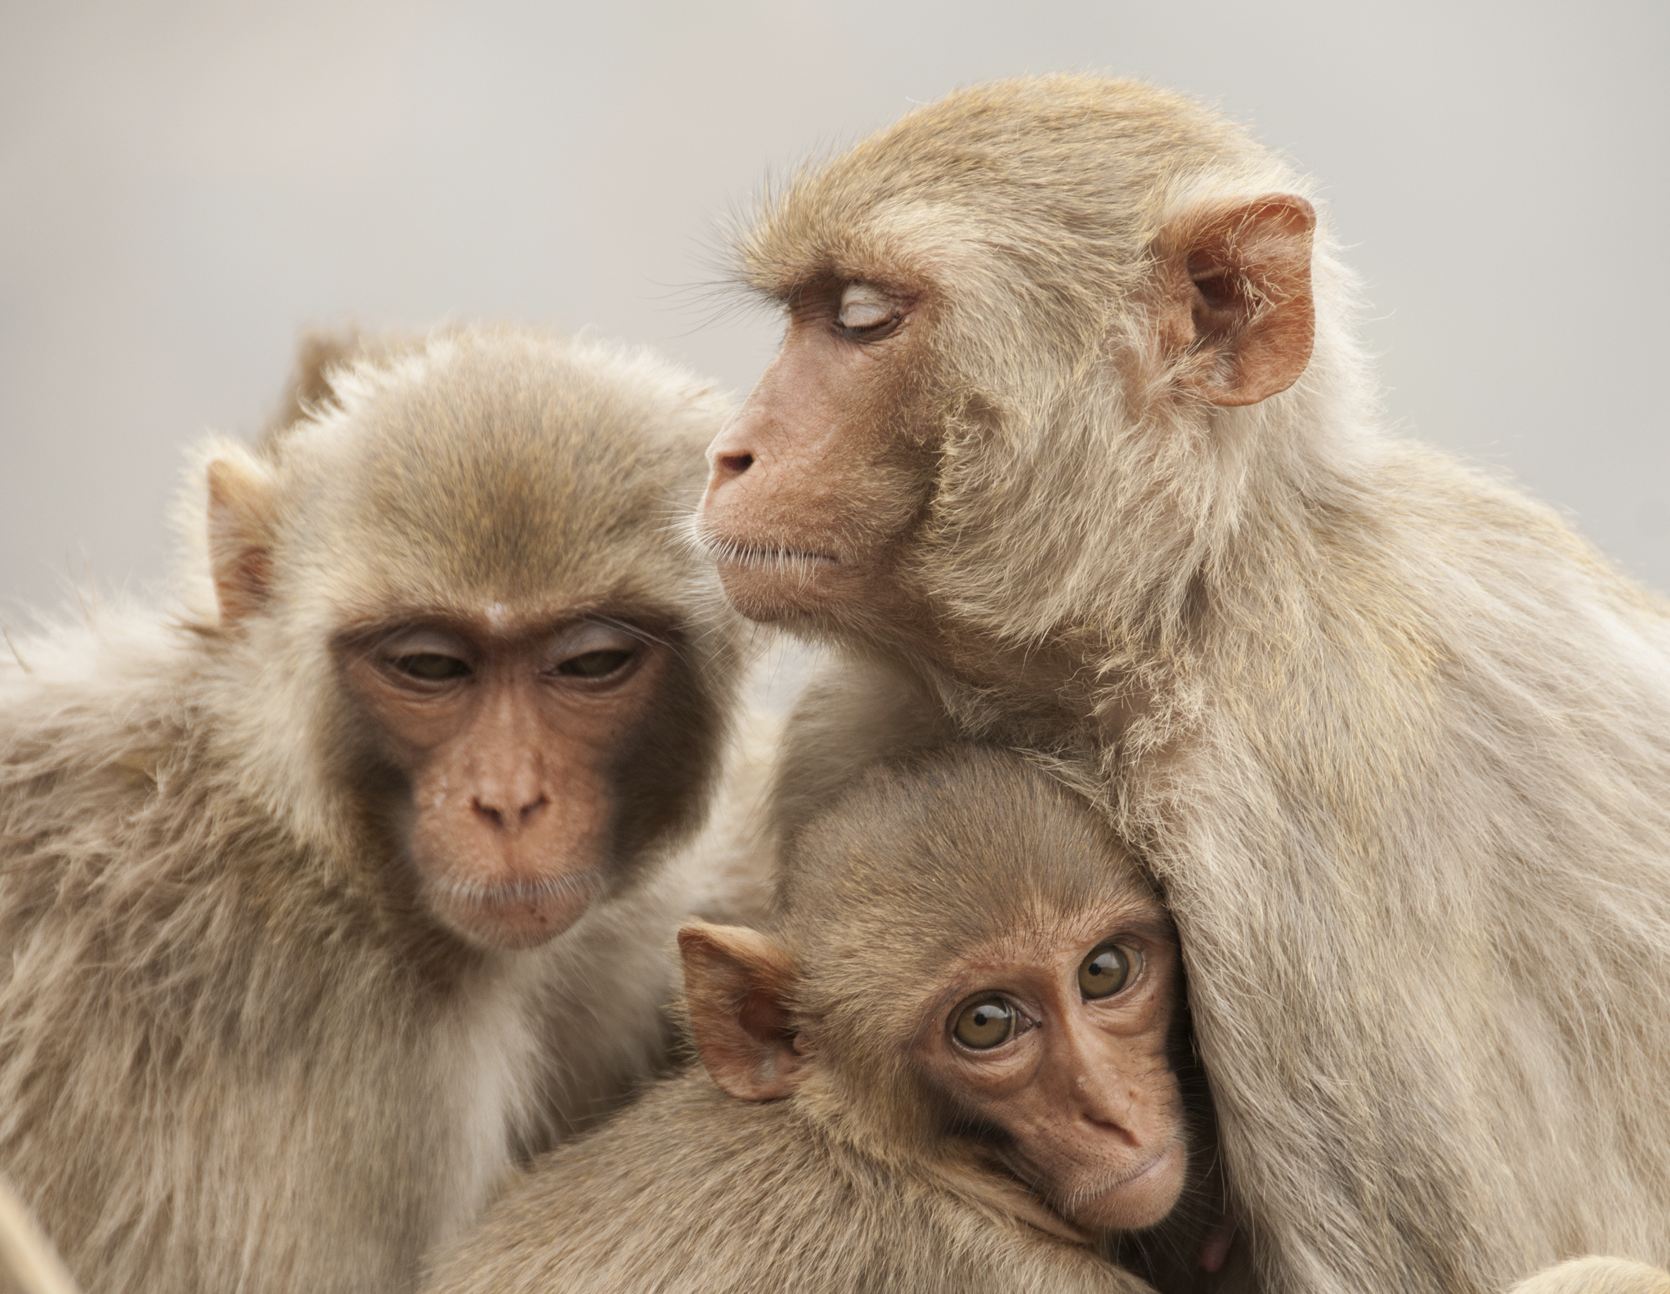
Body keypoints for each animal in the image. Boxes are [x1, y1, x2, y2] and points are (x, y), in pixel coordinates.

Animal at [694, 75, 1670, 1292]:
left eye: (862, 316)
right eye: (812, 311)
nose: (729, 454)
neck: (1179, 606)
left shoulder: (1289, 809)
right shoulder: (854, 726)